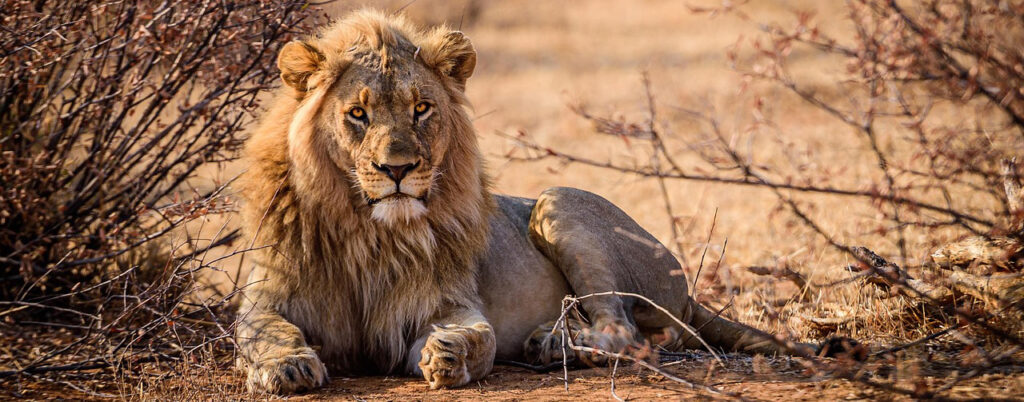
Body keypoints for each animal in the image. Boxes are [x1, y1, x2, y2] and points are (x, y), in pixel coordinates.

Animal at [235, 9, 846, 394]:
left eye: (421, 109)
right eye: (357, 114)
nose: (398, 170)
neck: (367, 229)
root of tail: (688, 290)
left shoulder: (444, 303)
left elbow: (476, 336)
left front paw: (448, 355)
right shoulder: (266, 296)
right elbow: (264, 332)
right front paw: (288, 367)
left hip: (559, 203)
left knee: (628, 333)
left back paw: (553, 344)